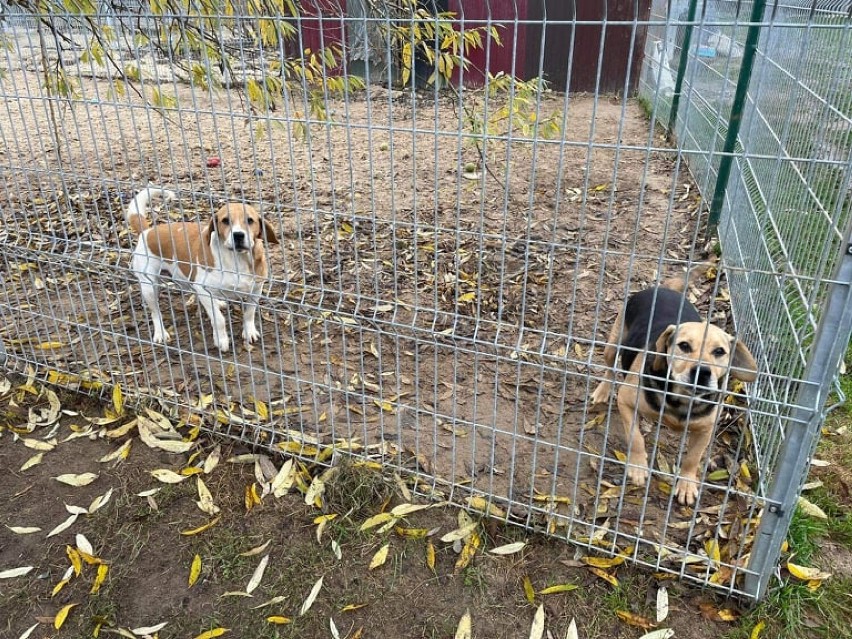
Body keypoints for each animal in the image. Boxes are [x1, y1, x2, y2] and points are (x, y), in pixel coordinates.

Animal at [125, 185, 278, 356]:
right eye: (225, 221)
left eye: (250, 220)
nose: (238, 235)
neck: (236, 260)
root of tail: (148, 231)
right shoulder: (203, 289)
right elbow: (219, 319)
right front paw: (221, 340)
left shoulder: (256, 289)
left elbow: (249, 312)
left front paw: (249, 331)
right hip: (149, 287)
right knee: (155, 312)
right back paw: (160, 333)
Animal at [592, 278, 760, 508]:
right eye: (684, 346)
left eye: (719, 352)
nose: (702, 372)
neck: (682, 399)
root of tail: (664, 289)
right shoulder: (626, 402)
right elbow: (636, 438)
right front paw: (638, 467)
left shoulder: (706, 429)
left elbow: (692, 458)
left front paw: (687, 484)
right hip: (614, 343)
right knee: (610, 367)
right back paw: (603, 390)